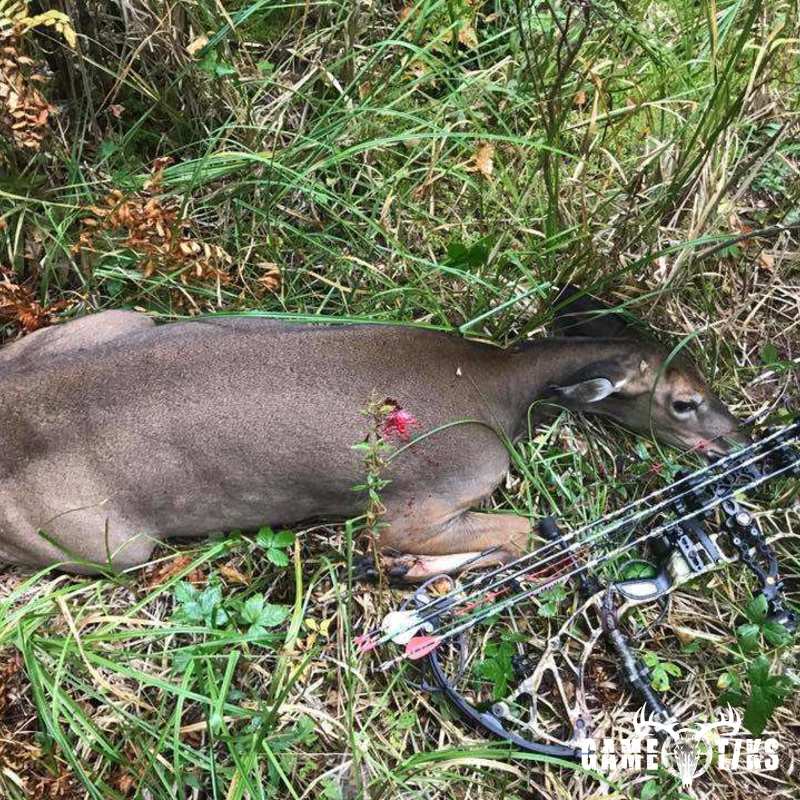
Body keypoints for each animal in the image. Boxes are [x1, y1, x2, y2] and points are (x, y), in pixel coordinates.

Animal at [0, 287, 747, 580]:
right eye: (684, 402)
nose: (740, 434)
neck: (497, 385)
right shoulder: (421, 494)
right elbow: (521, 533)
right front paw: (404, 567)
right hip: (103, 543)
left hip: (114, 318)